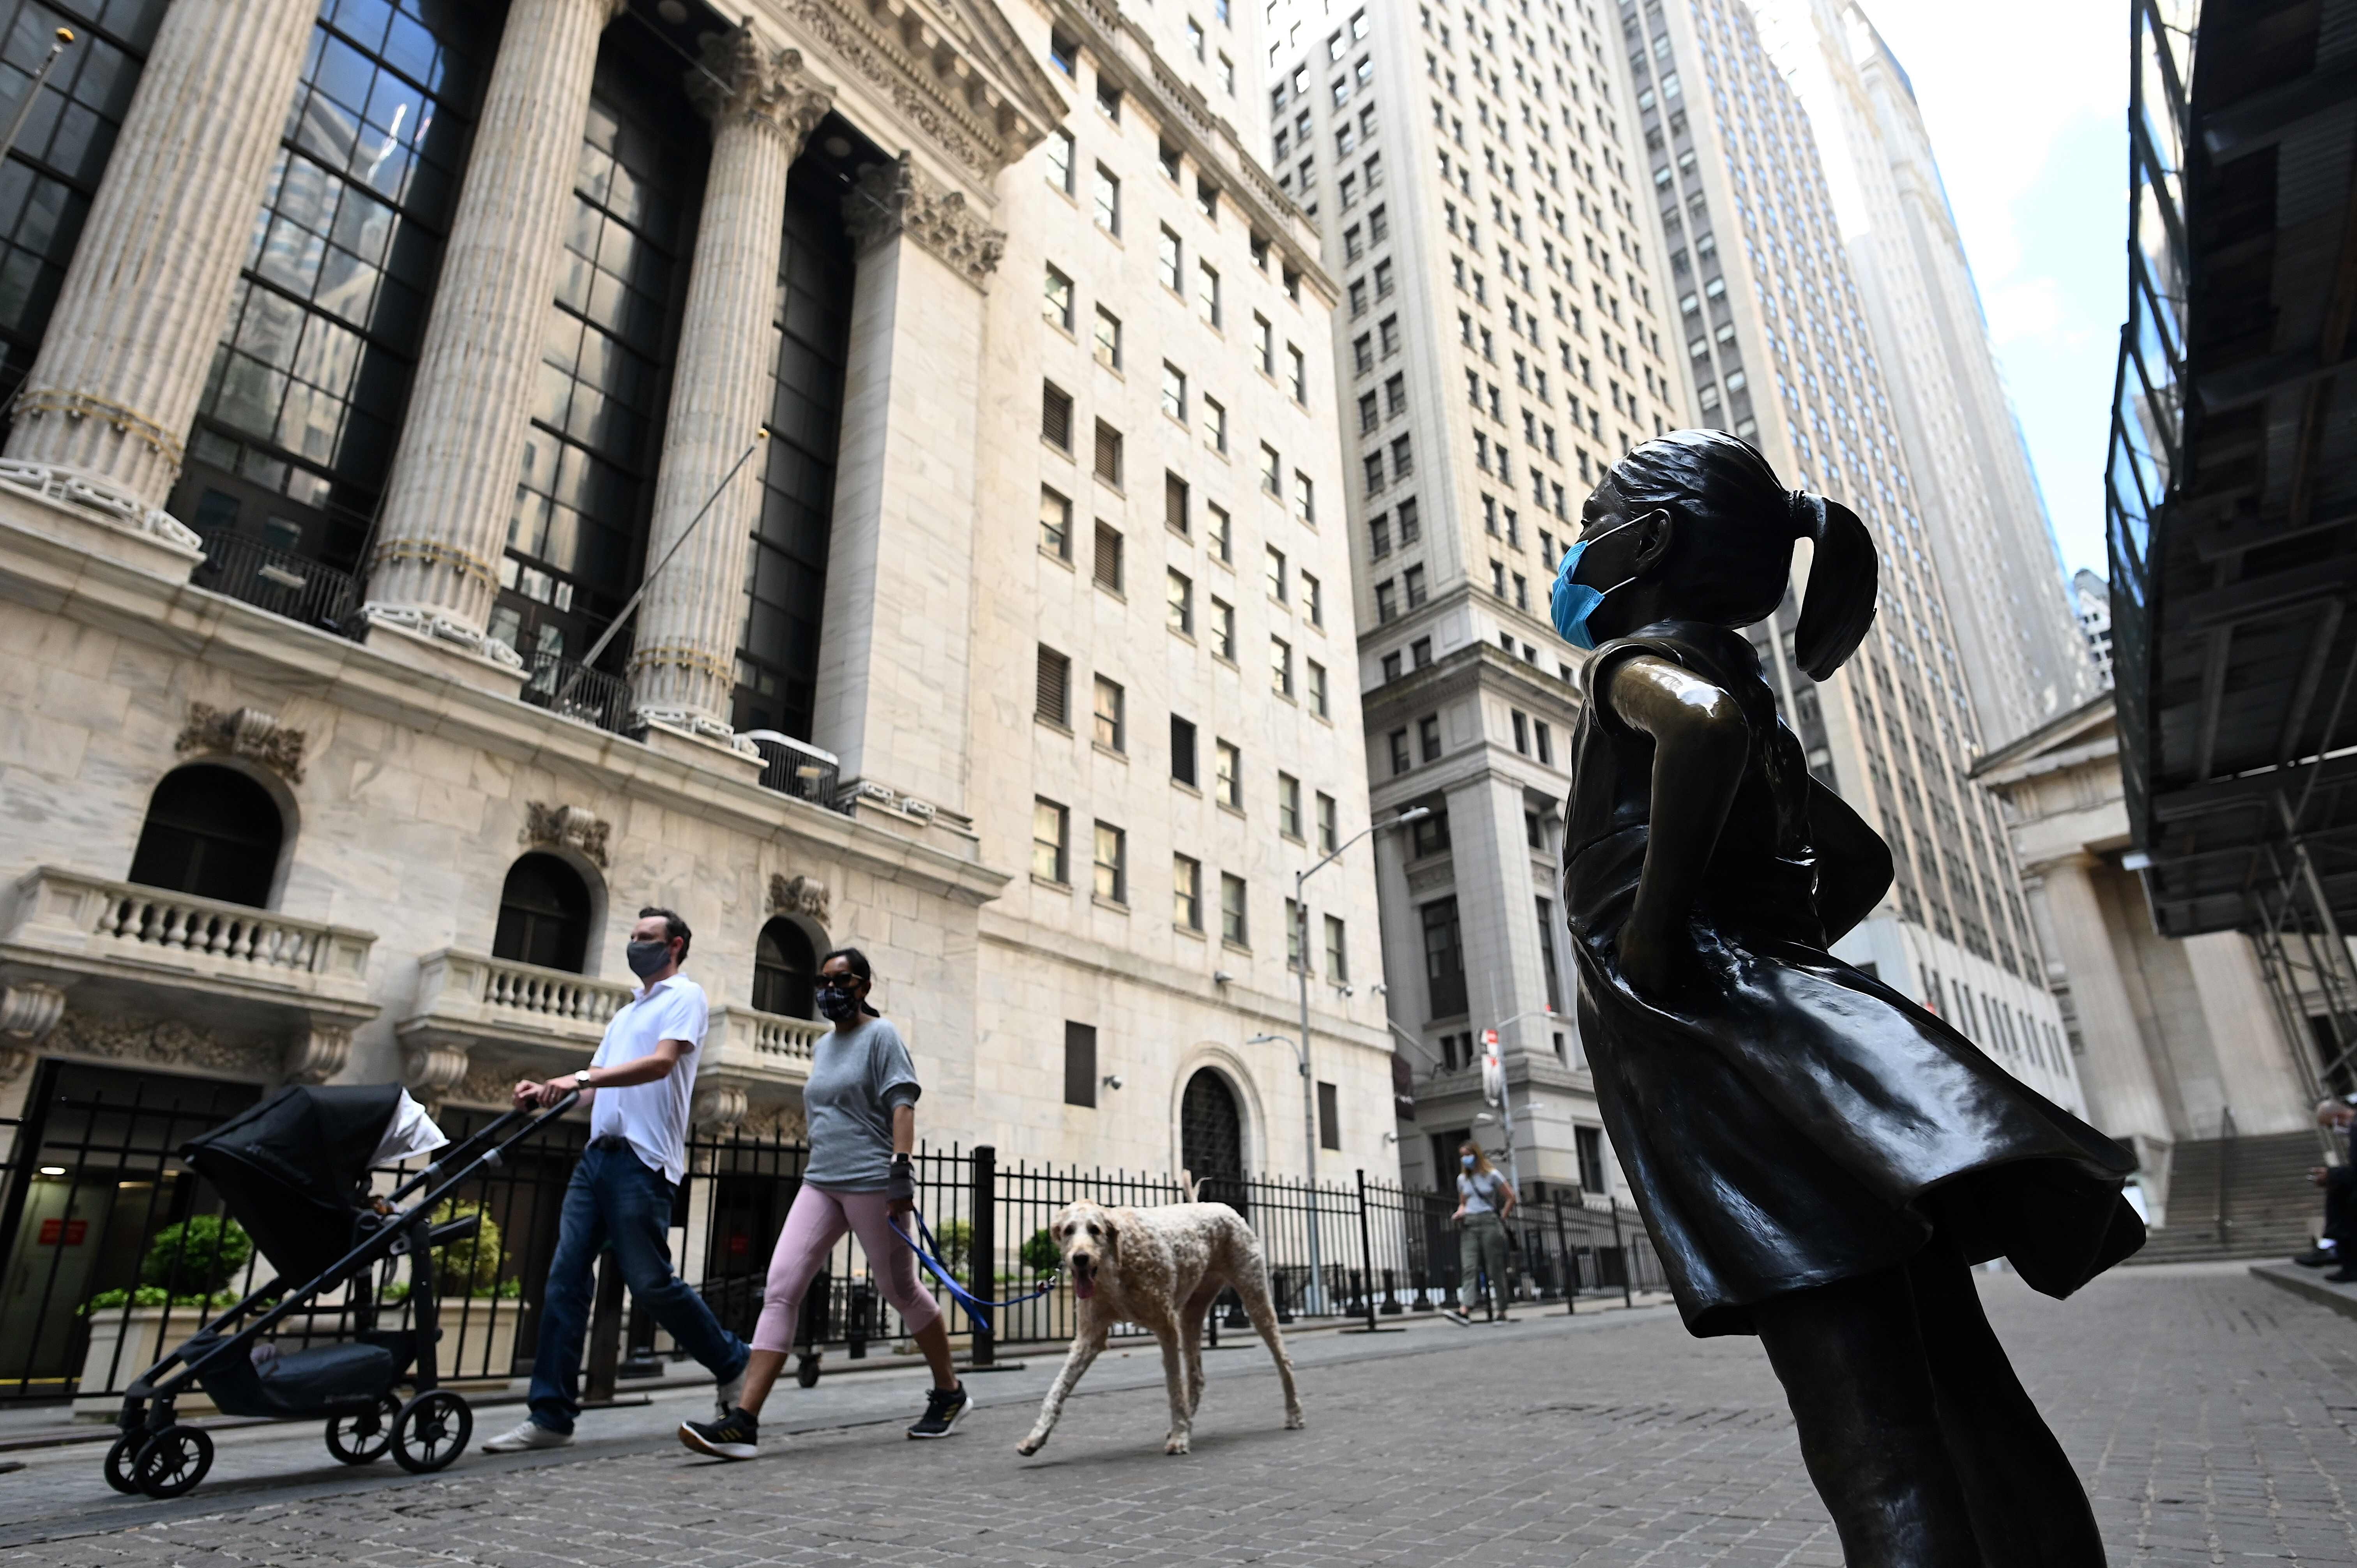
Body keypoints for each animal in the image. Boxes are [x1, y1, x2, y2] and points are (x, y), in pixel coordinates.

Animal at [1013, 1197, 1310, 1452]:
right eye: (1068, 1231)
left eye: (1095, 1230)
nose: (1080, 1259)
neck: (1116, 1264)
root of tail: (1220, 1206)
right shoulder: (1089, 1338)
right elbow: (1057, 1390)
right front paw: (1036, 1438)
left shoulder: (1166, 1327)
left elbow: (1173, 1386)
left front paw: (1180, 1438)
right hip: (1192, 1313)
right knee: (1197, 1377)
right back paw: (1189, 1421)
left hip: (1254, 1295)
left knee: (1283, 1360)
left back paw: (1294, 1414)